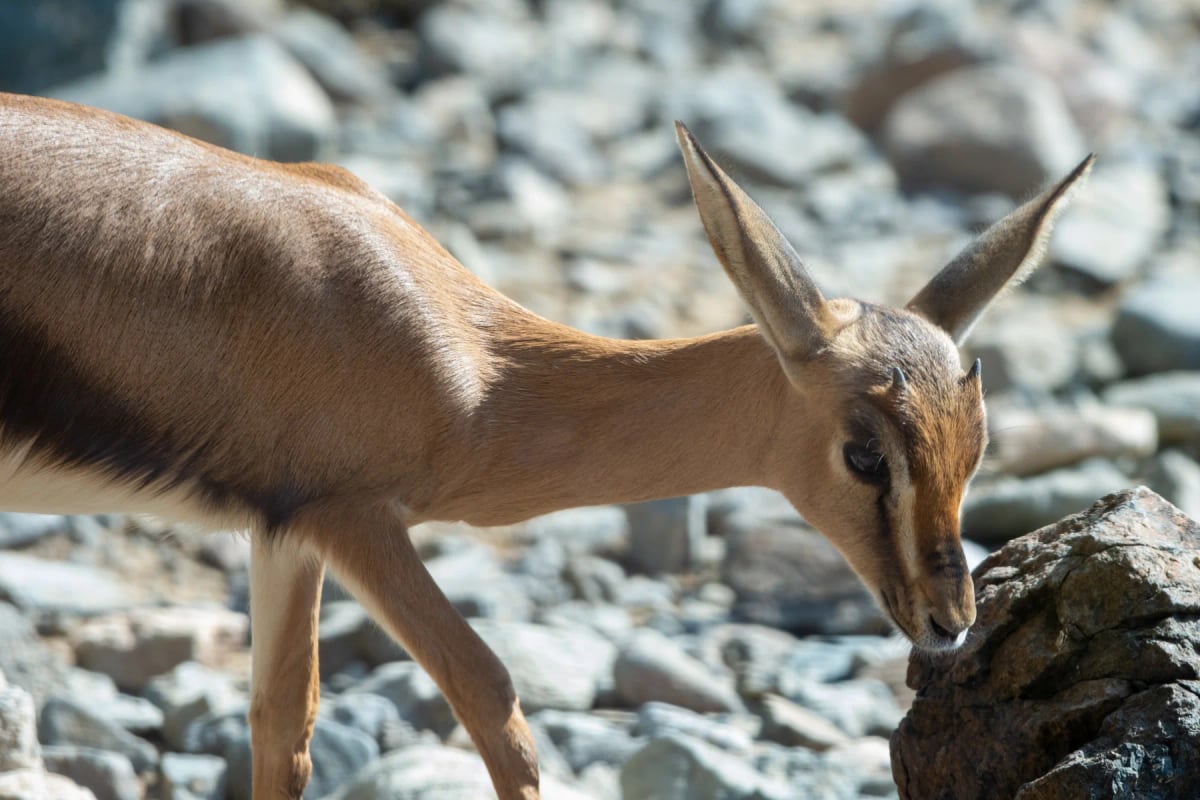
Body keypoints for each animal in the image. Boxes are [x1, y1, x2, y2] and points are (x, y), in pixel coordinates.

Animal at [0, 91, 1092, 799]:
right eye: (865, 454)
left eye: (977, 450)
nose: (950, 620)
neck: (471, 363)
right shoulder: (354, 519)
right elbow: (492, 693)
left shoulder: (285, 534)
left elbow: (283, 724)